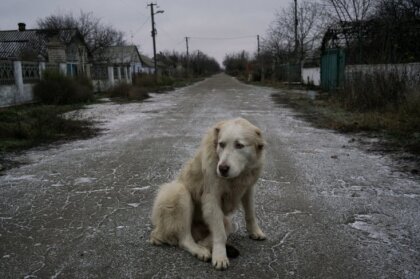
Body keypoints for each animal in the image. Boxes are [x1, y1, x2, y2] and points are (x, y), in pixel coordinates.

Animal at [149, 118, 264, 272]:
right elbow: (220, 234)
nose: (222, 168)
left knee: (222, 228)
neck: (237, 176)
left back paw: (205, 244)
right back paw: (200, 250)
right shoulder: (211, 197)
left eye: (239, 145)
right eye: (221, 144)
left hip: (224, 221)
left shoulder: (248, 188)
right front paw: (220, 256)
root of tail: (157, 232)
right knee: (184, 239)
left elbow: (250, 213)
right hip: (179, 192)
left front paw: (255, 231)